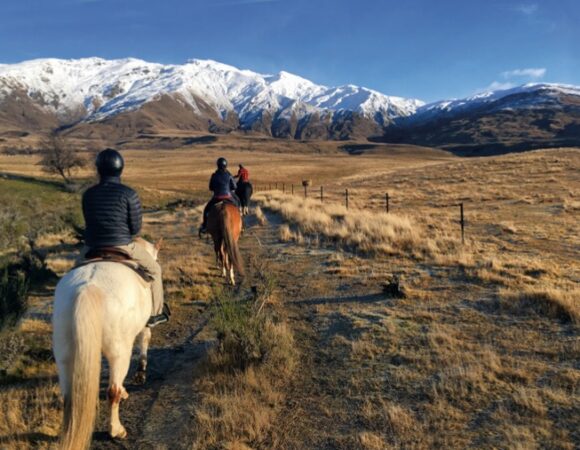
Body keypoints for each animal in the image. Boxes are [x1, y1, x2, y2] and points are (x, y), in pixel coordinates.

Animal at [52, 237, 160, 448]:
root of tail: (86, 289)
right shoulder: (144, 325)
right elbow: (144, 341)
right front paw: (140, 374)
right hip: (119, 353)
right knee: (113, 391)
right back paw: (116, 430)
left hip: (64, 356)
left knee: (68, 396)